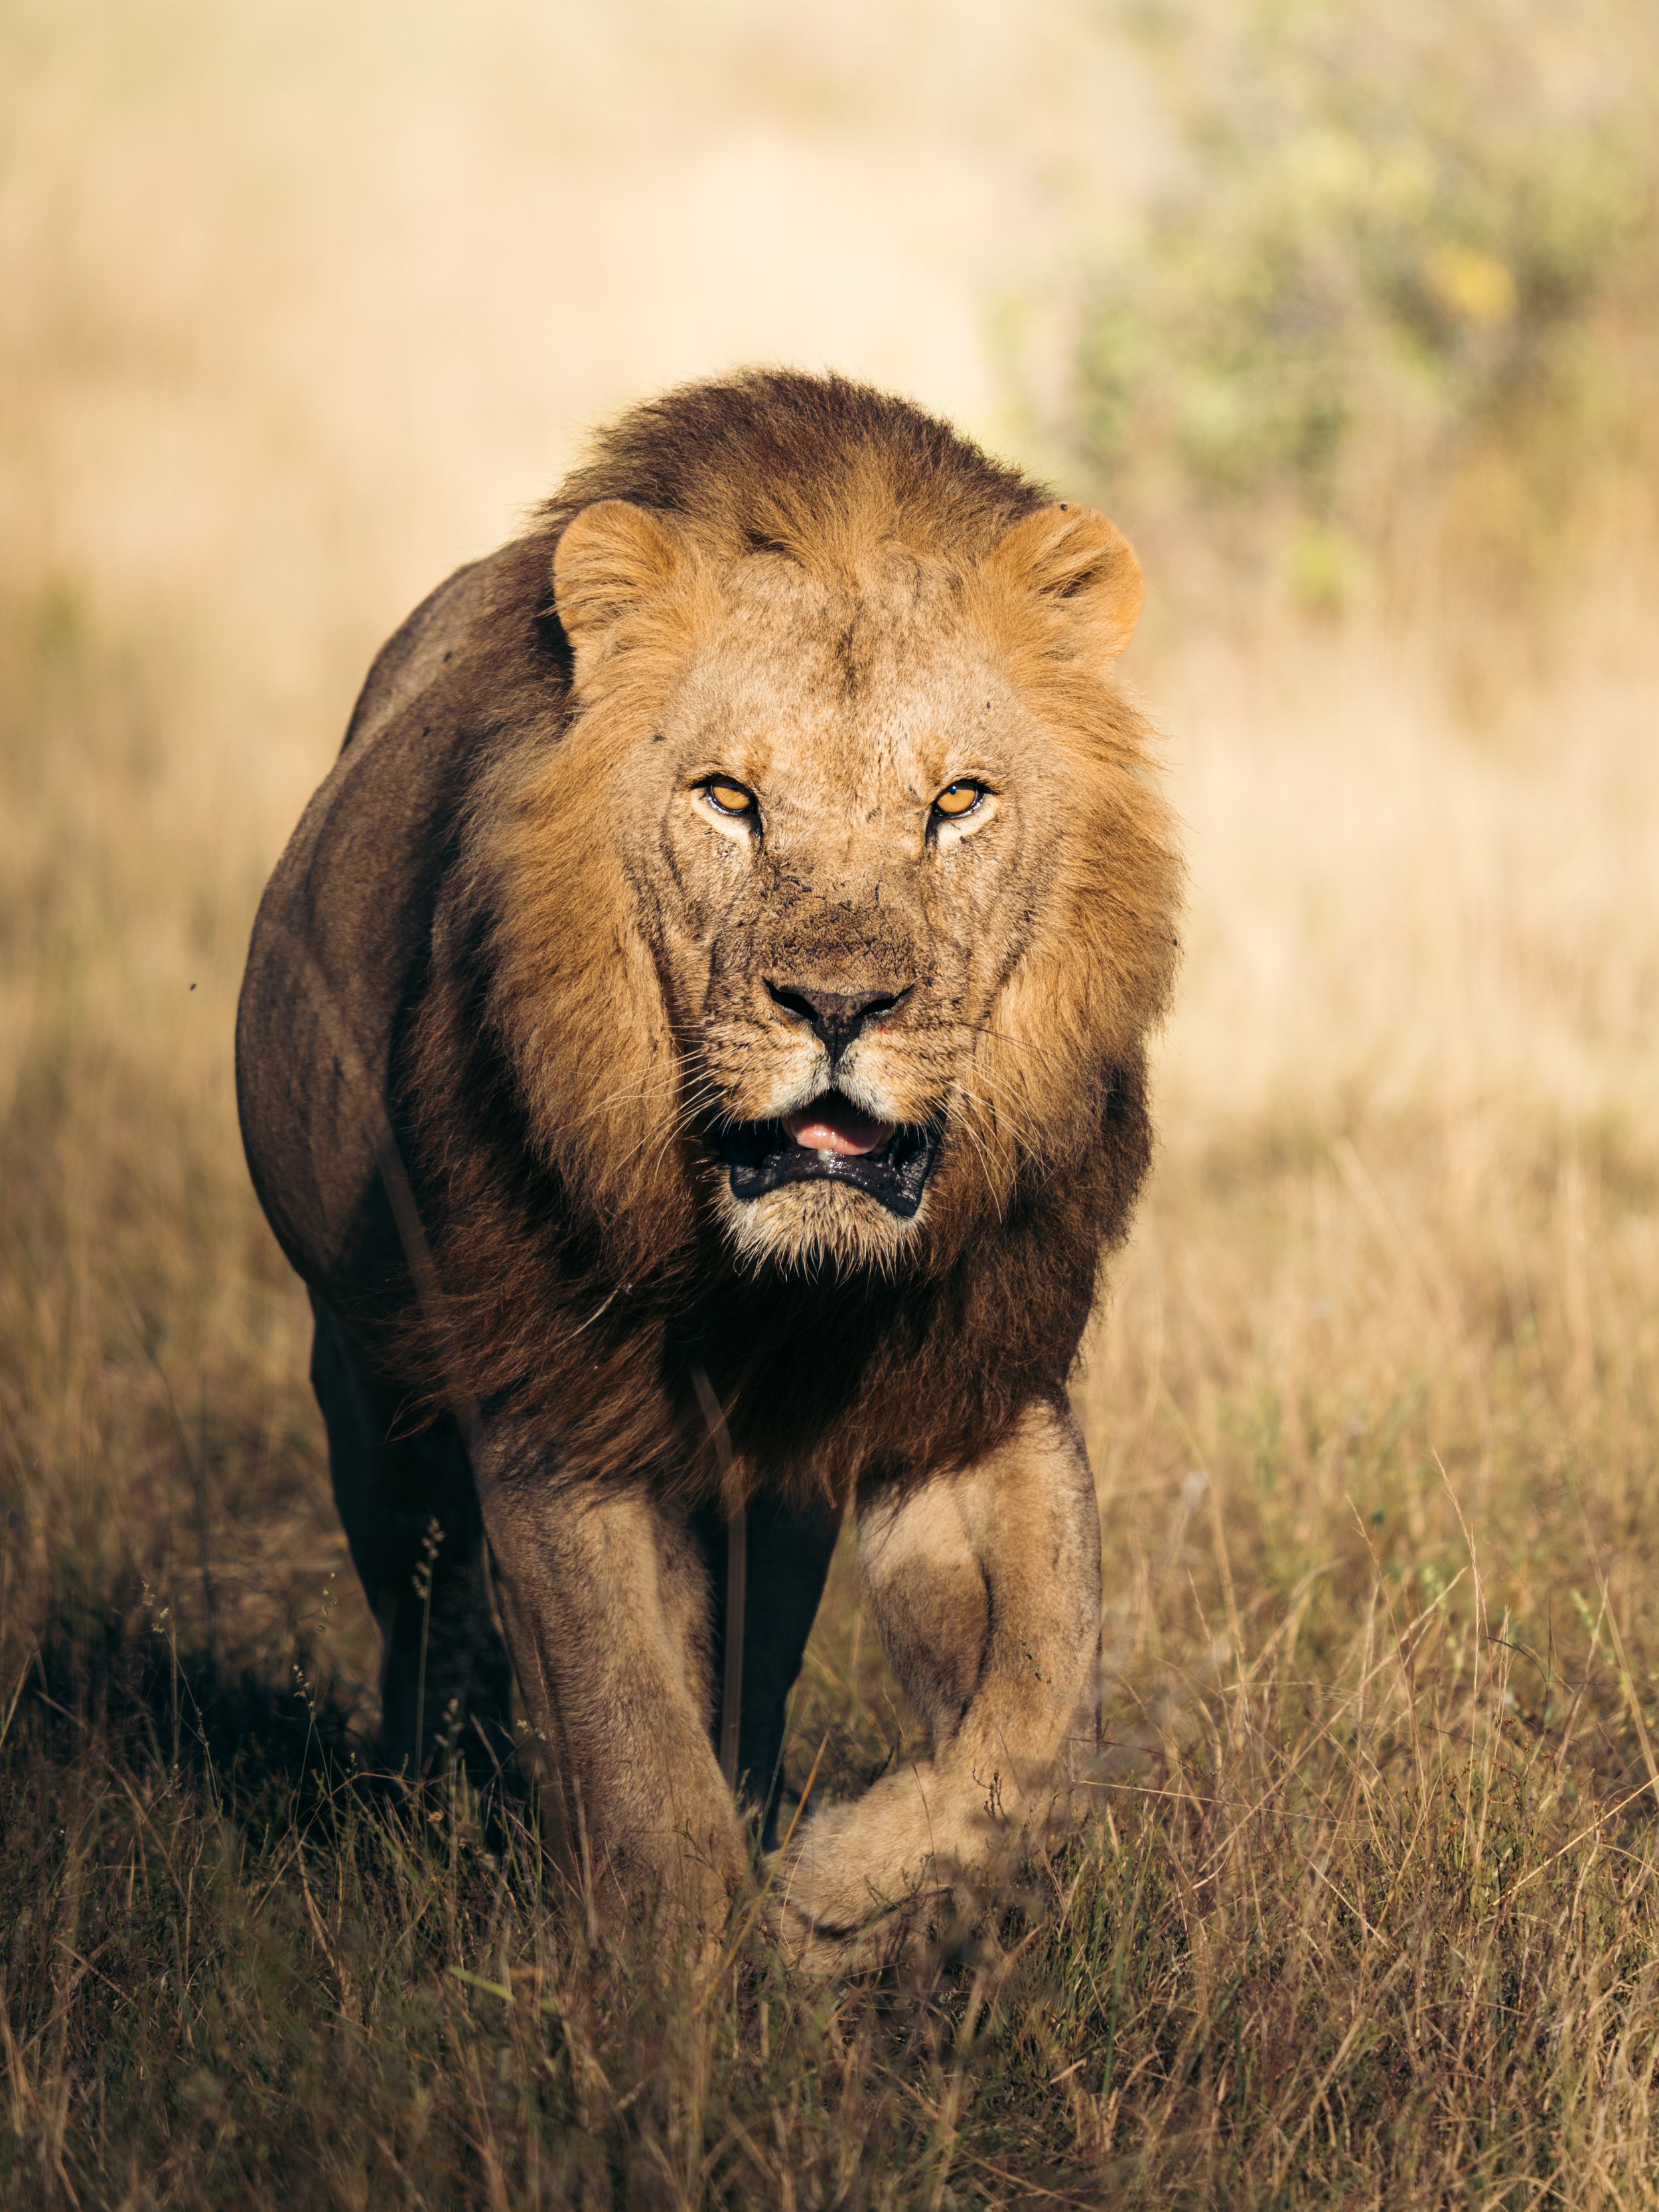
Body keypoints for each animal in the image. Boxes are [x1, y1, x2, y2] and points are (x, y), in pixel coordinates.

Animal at [236, 369, 1181, 1962]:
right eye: (728, 798)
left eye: (959, 801)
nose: (840, 1005)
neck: (780, 1288)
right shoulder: (552, 1408)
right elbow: (635, 1765)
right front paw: (677, 1997)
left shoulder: (975, 1380)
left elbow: (1040, 1715)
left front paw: (831, 1893)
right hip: (369, 1380)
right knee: (422, 1603)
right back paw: (435, 1801)